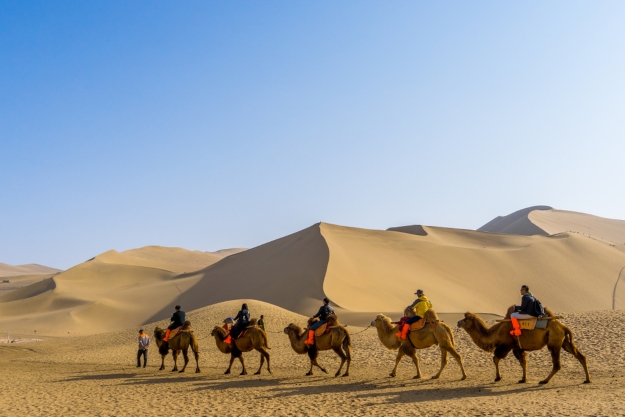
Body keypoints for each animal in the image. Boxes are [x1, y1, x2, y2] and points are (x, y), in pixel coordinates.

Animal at [456, 306, 588, 384]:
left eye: (466, 319)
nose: (457, 322)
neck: (496, 332)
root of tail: (563, 326)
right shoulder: (517, 347)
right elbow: (523, 362)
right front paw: (523, 379)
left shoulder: (506, 345)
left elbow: (495, 358)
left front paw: (498, 377)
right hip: (564, 341)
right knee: (580, 356)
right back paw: (587, 379)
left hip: (554, 342)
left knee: (557, 364)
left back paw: (544, 381)